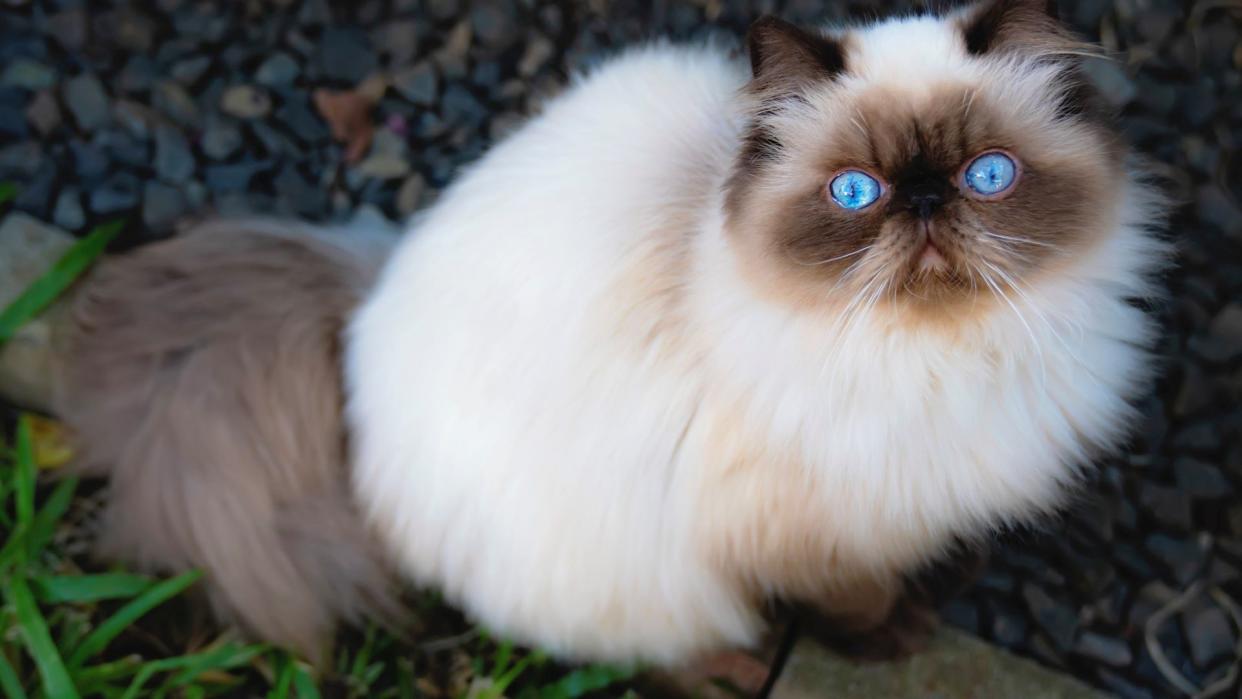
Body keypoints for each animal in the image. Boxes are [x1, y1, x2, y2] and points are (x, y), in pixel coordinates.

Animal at [53, 0, 1167, 675]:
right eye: (856, 194)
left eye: (989, 176)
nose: (927, 203)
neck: (941, 357)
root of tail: (365, 310)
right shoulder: (803, 529)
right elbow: (853, 595)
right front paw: (894, 635)